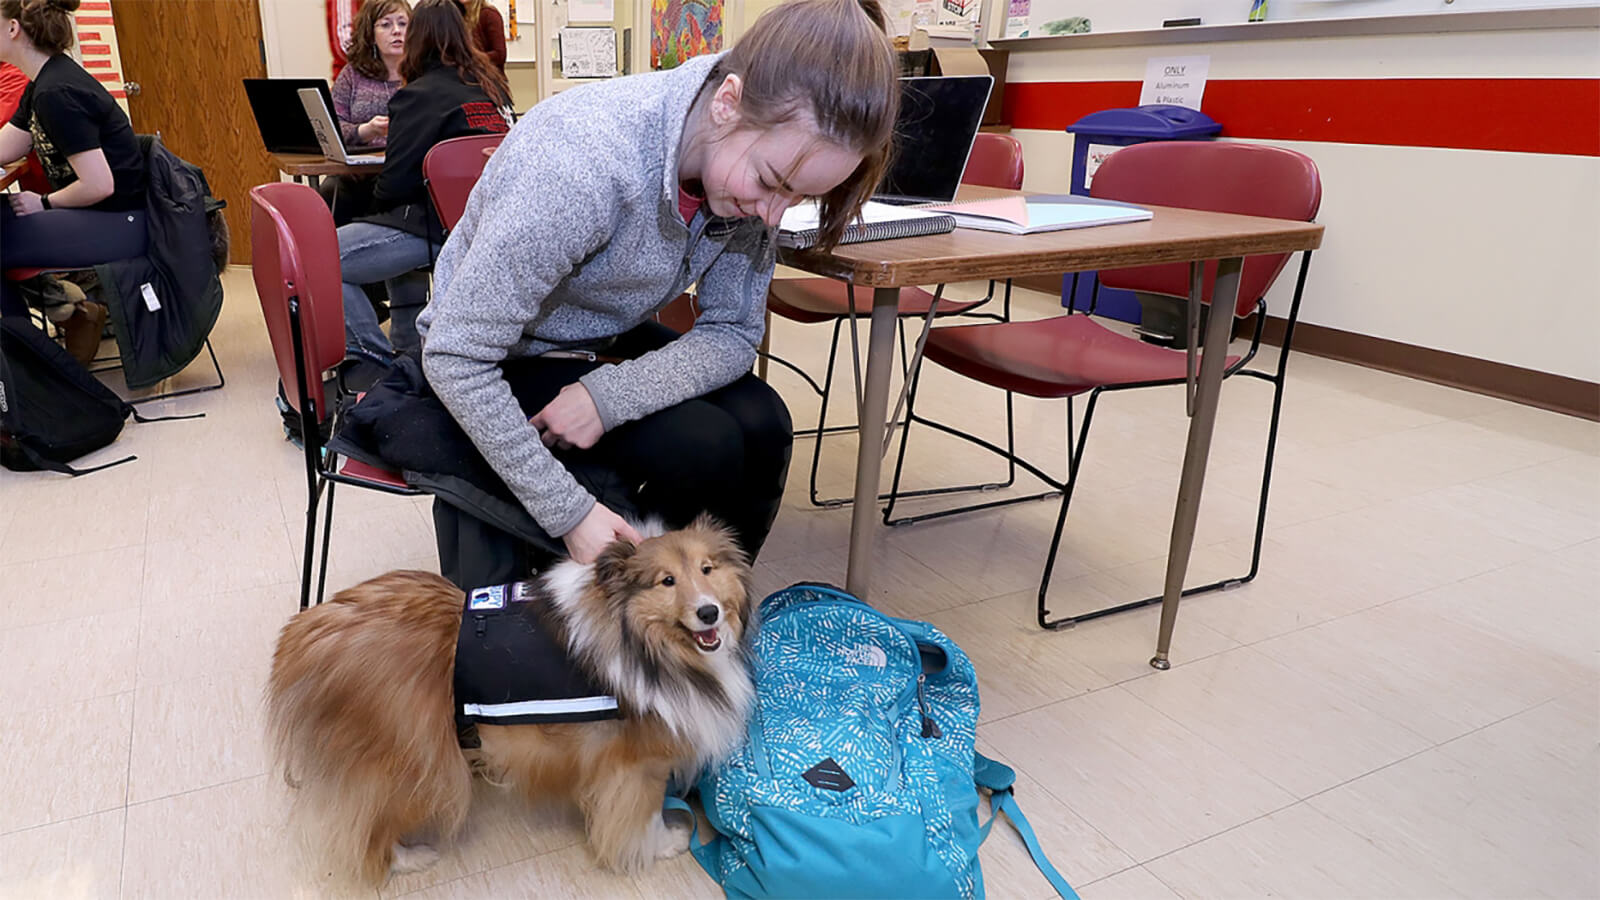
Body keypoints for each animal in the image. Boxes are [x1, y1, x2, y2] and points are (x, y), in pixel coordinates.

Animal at [264, 515, 755, 877]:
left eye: (707, 569)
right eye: (666, 581)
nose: (708, 612)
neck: (640, 639)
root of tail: (301, 635)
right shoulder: (637, 766)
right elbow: (641, 817)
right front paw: (664, 843)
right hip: (416, 764)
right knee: (370, 828)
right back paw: (412, 858)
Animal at [416, 0, 902, 582]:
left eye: (796, 193)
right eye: (773, 180)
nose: (771, 221)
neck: (681, 159)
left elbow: (730, 330)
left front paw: (589, 405)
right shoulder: (559, 184)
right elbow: (463, 349)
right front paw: (588, 523)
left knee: (764, 419)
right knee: (705, 438)